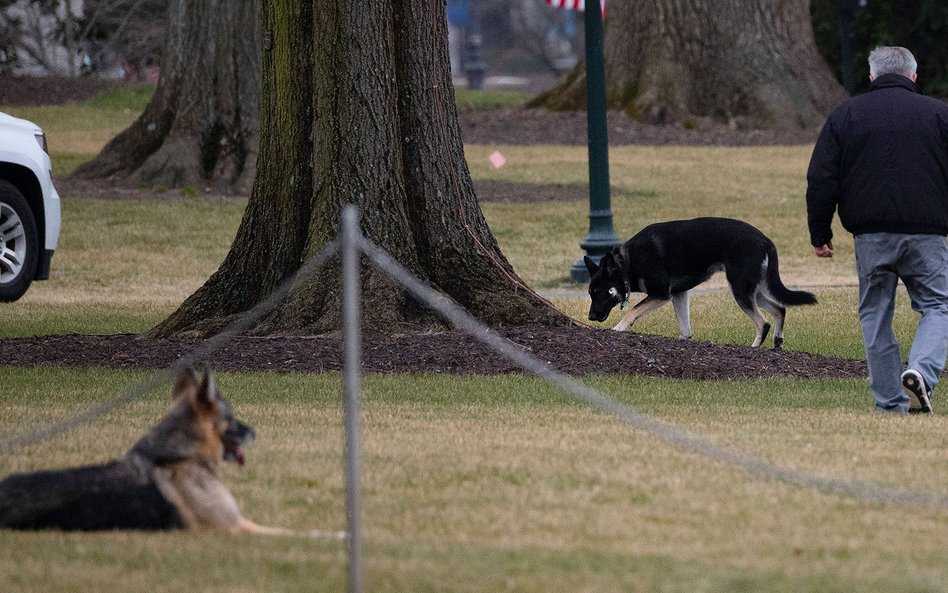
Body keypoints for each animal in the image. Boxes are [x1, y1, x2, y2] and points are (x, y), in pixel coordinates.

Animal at [584, 216, 816, 346]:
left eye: (600, 292)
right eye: (590, 293)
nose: (591, 317)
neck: (627, 263)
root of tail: (766, 241)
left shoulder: (661, 294)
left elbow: (633, 311)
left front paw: (618, 328)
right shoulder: (678, 294)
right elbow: (684, 327)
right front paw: (685, 340)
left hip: (740, 289)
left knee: (763, 323)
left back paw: (754, 347)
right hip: (752, 290)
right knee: (780, 309)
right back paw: (778, 343)